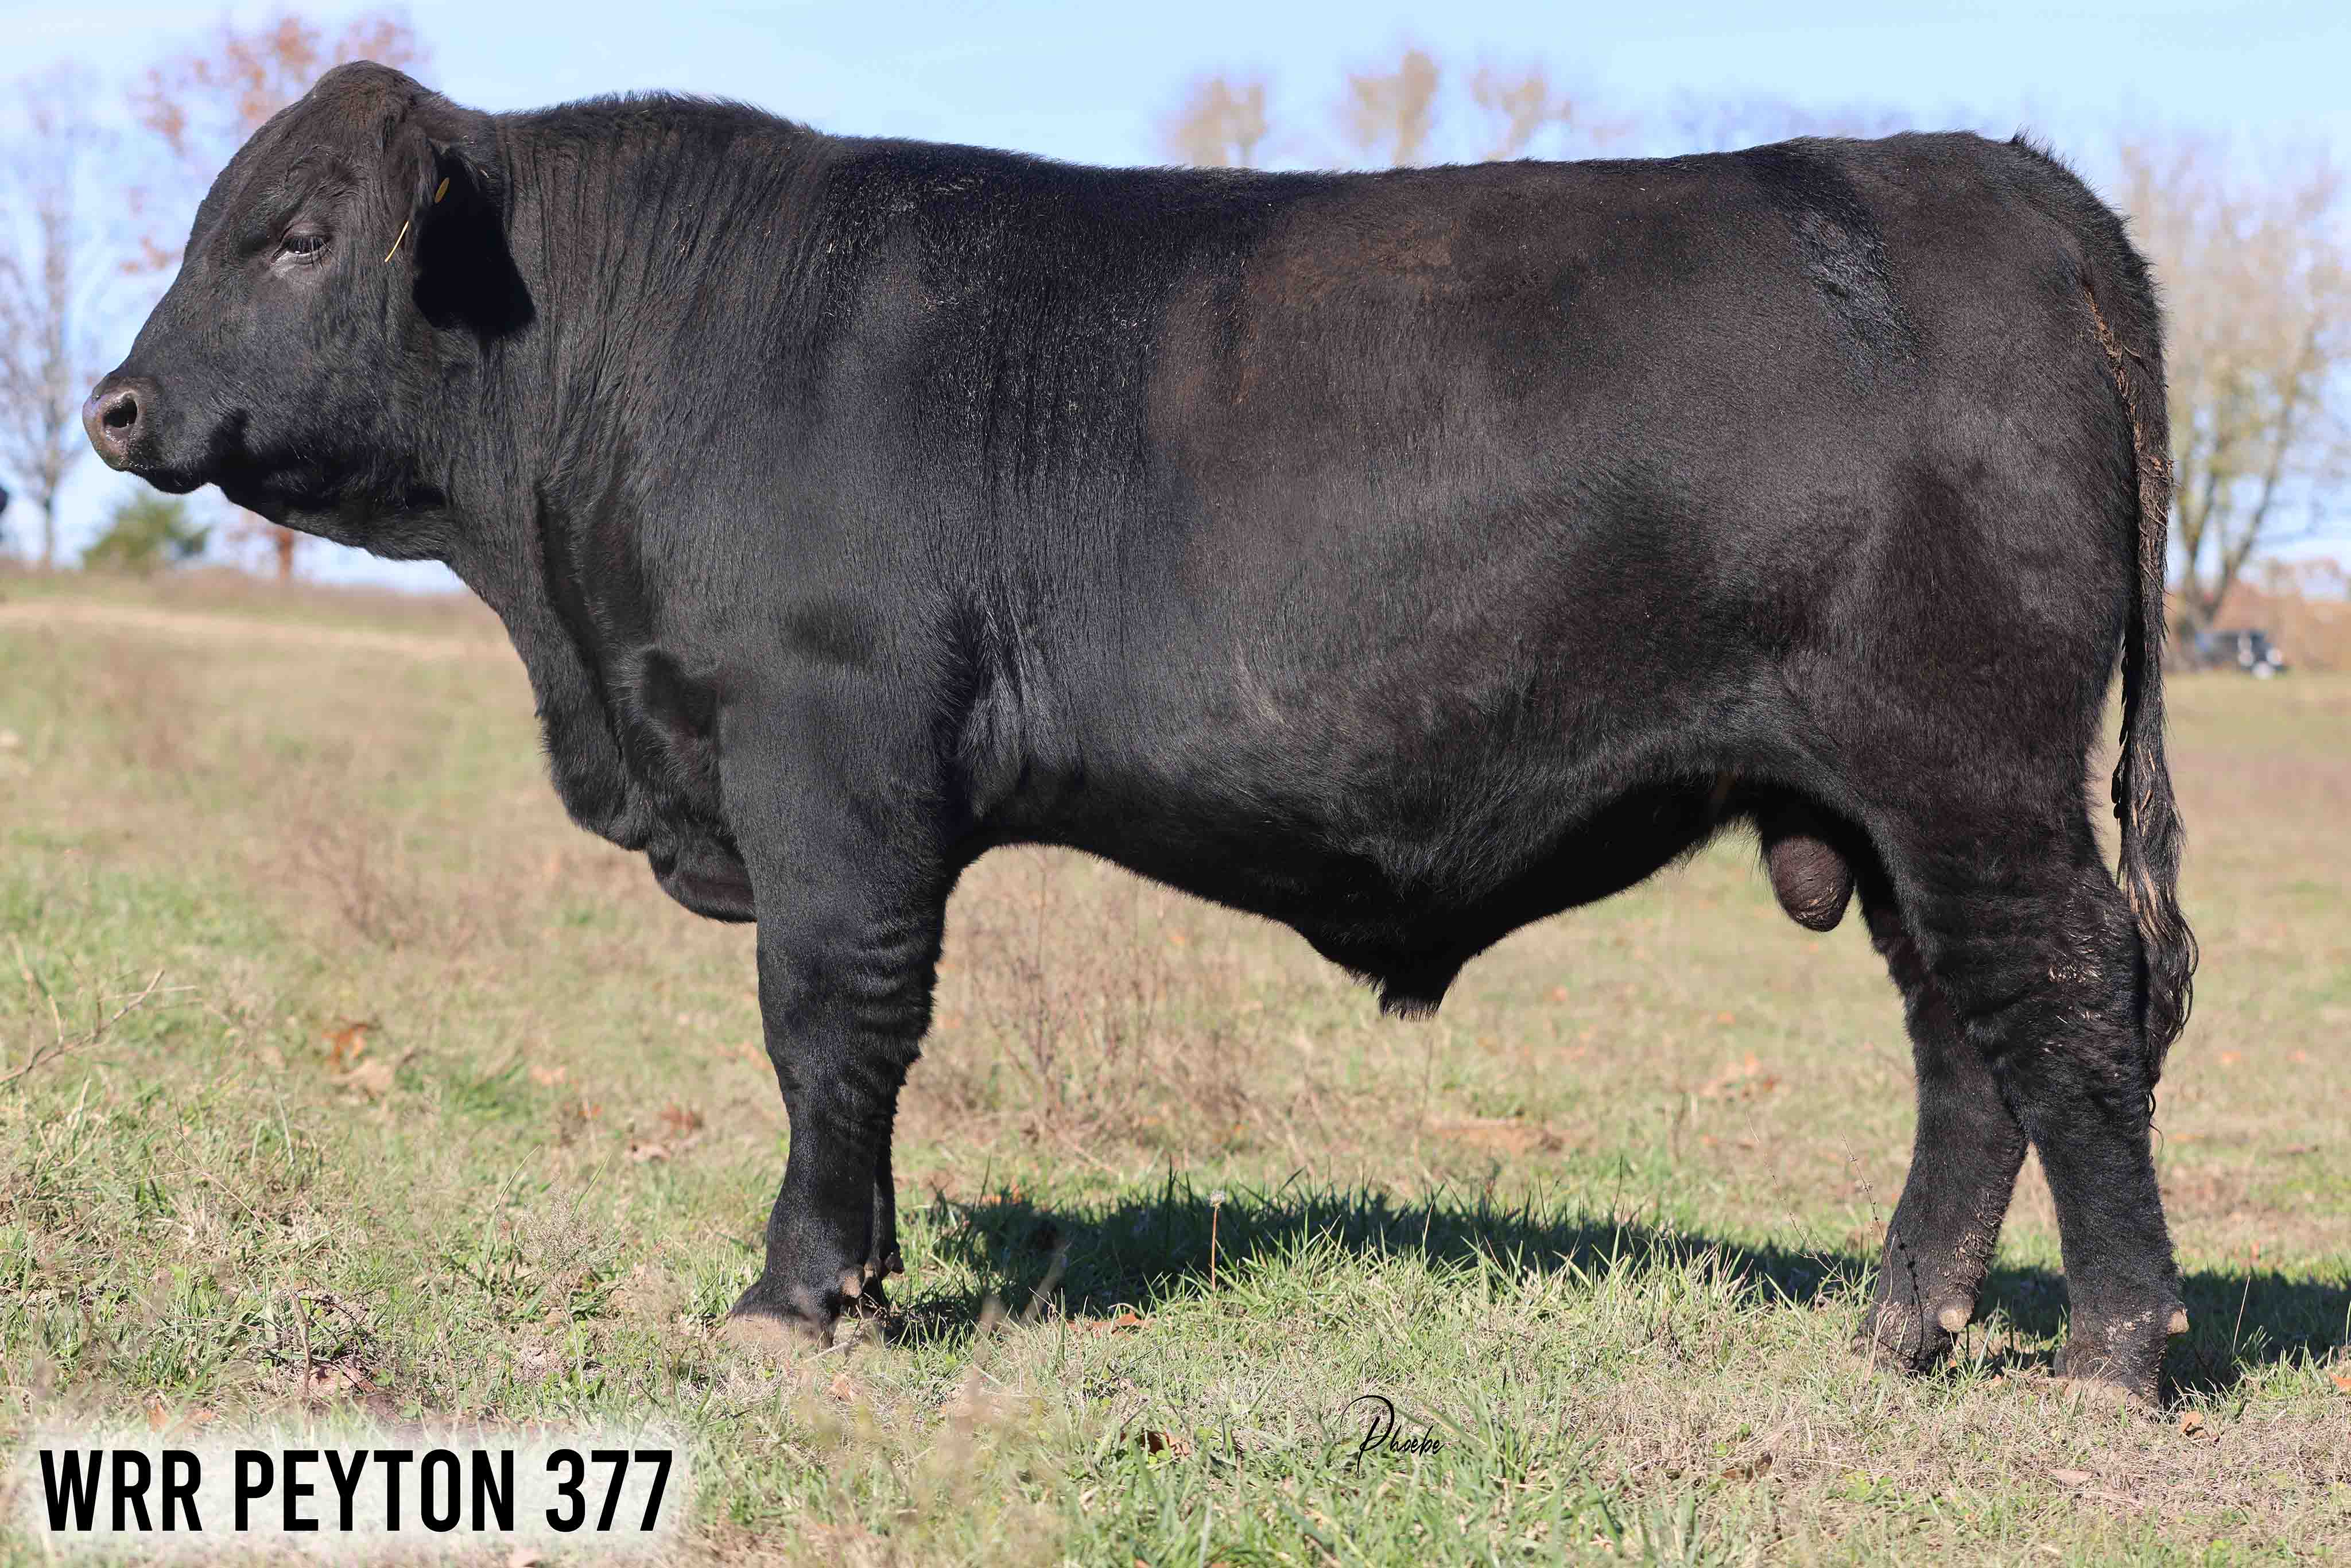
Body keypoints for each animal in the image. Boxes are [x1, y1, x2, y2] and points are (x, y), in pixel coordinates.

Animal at [86, 63, 2196, 1401]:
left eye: (298, 234)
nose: (112, 406)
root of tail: (1998, 174)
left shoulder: (828, 764)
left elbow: (829, 1022)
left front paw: (799, 1291)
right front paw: (858, 1275)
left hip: (1974, 775)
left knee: (2066, 998)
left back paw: (2109, 1350)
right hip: (1890, 802)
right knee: (1966, 1042)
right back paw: (1901, 1330)